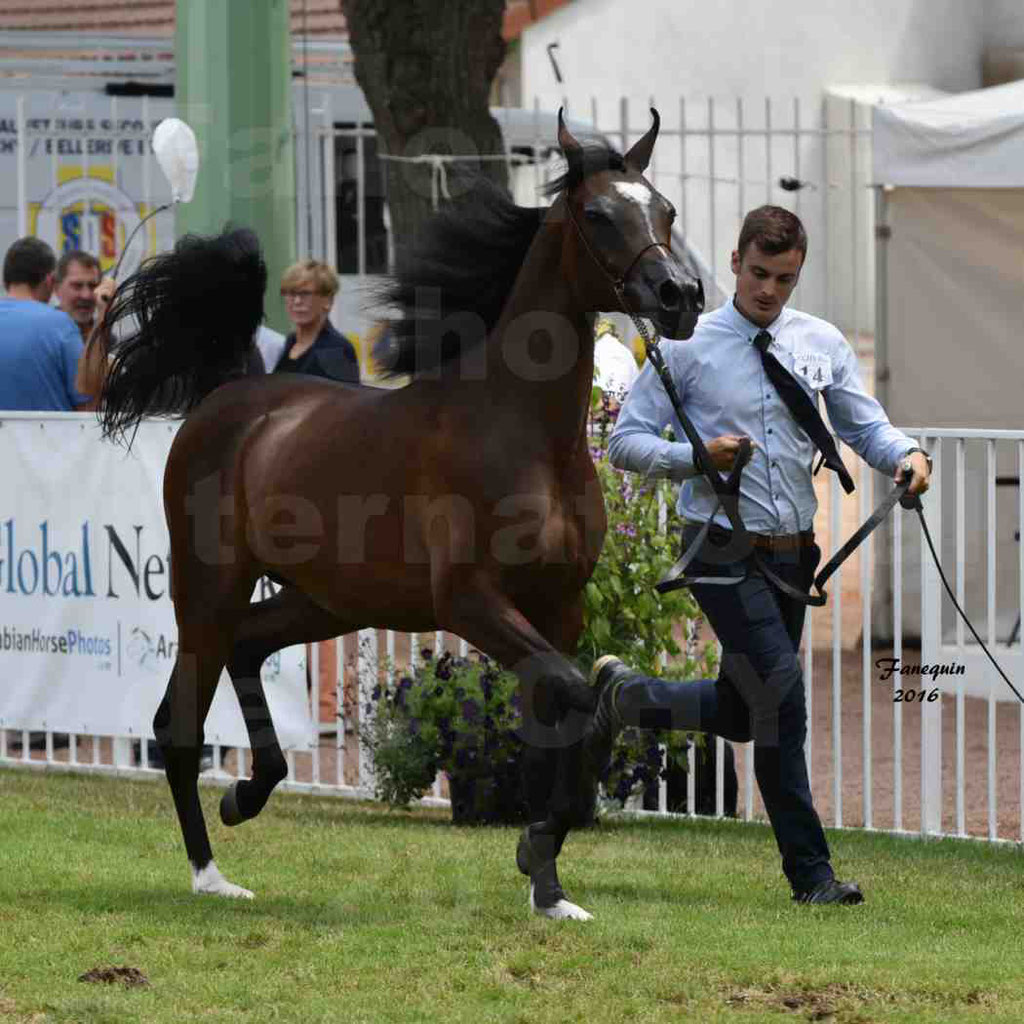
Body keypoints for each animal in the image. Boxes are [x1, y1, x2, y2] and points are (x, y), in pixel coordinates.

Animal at [97, 110, 704, 921]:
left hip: (325, 602)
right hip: (208, 591)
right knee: (179, 726)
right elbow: (579, 694)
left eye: (664, 209)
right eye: (599, 214)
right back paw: (211, 872)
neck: (523, 430)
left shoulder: (560, 608)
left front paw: (548, 885)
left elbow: (557, 717)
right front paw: (536, 851)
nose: (680, 296)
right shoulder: (471, 602)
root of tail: (229, 394)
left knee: (248, 649)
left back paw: (248, 796)